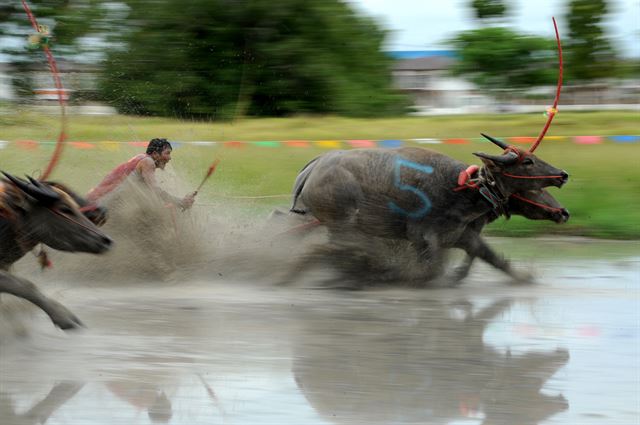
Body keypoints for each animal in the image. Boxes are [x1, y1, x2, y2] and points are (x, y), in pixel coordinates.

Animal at [288, 134, 568, 284]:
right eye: (528, 162)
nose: (562, 175)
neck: (462, 189)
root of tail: (313, 168)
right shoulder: (423, 238)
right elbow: (430, 269)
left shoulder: (461, 235)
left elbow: (490, 256)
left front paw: (522, 276)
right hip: (343, 224)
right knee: (337, 249)